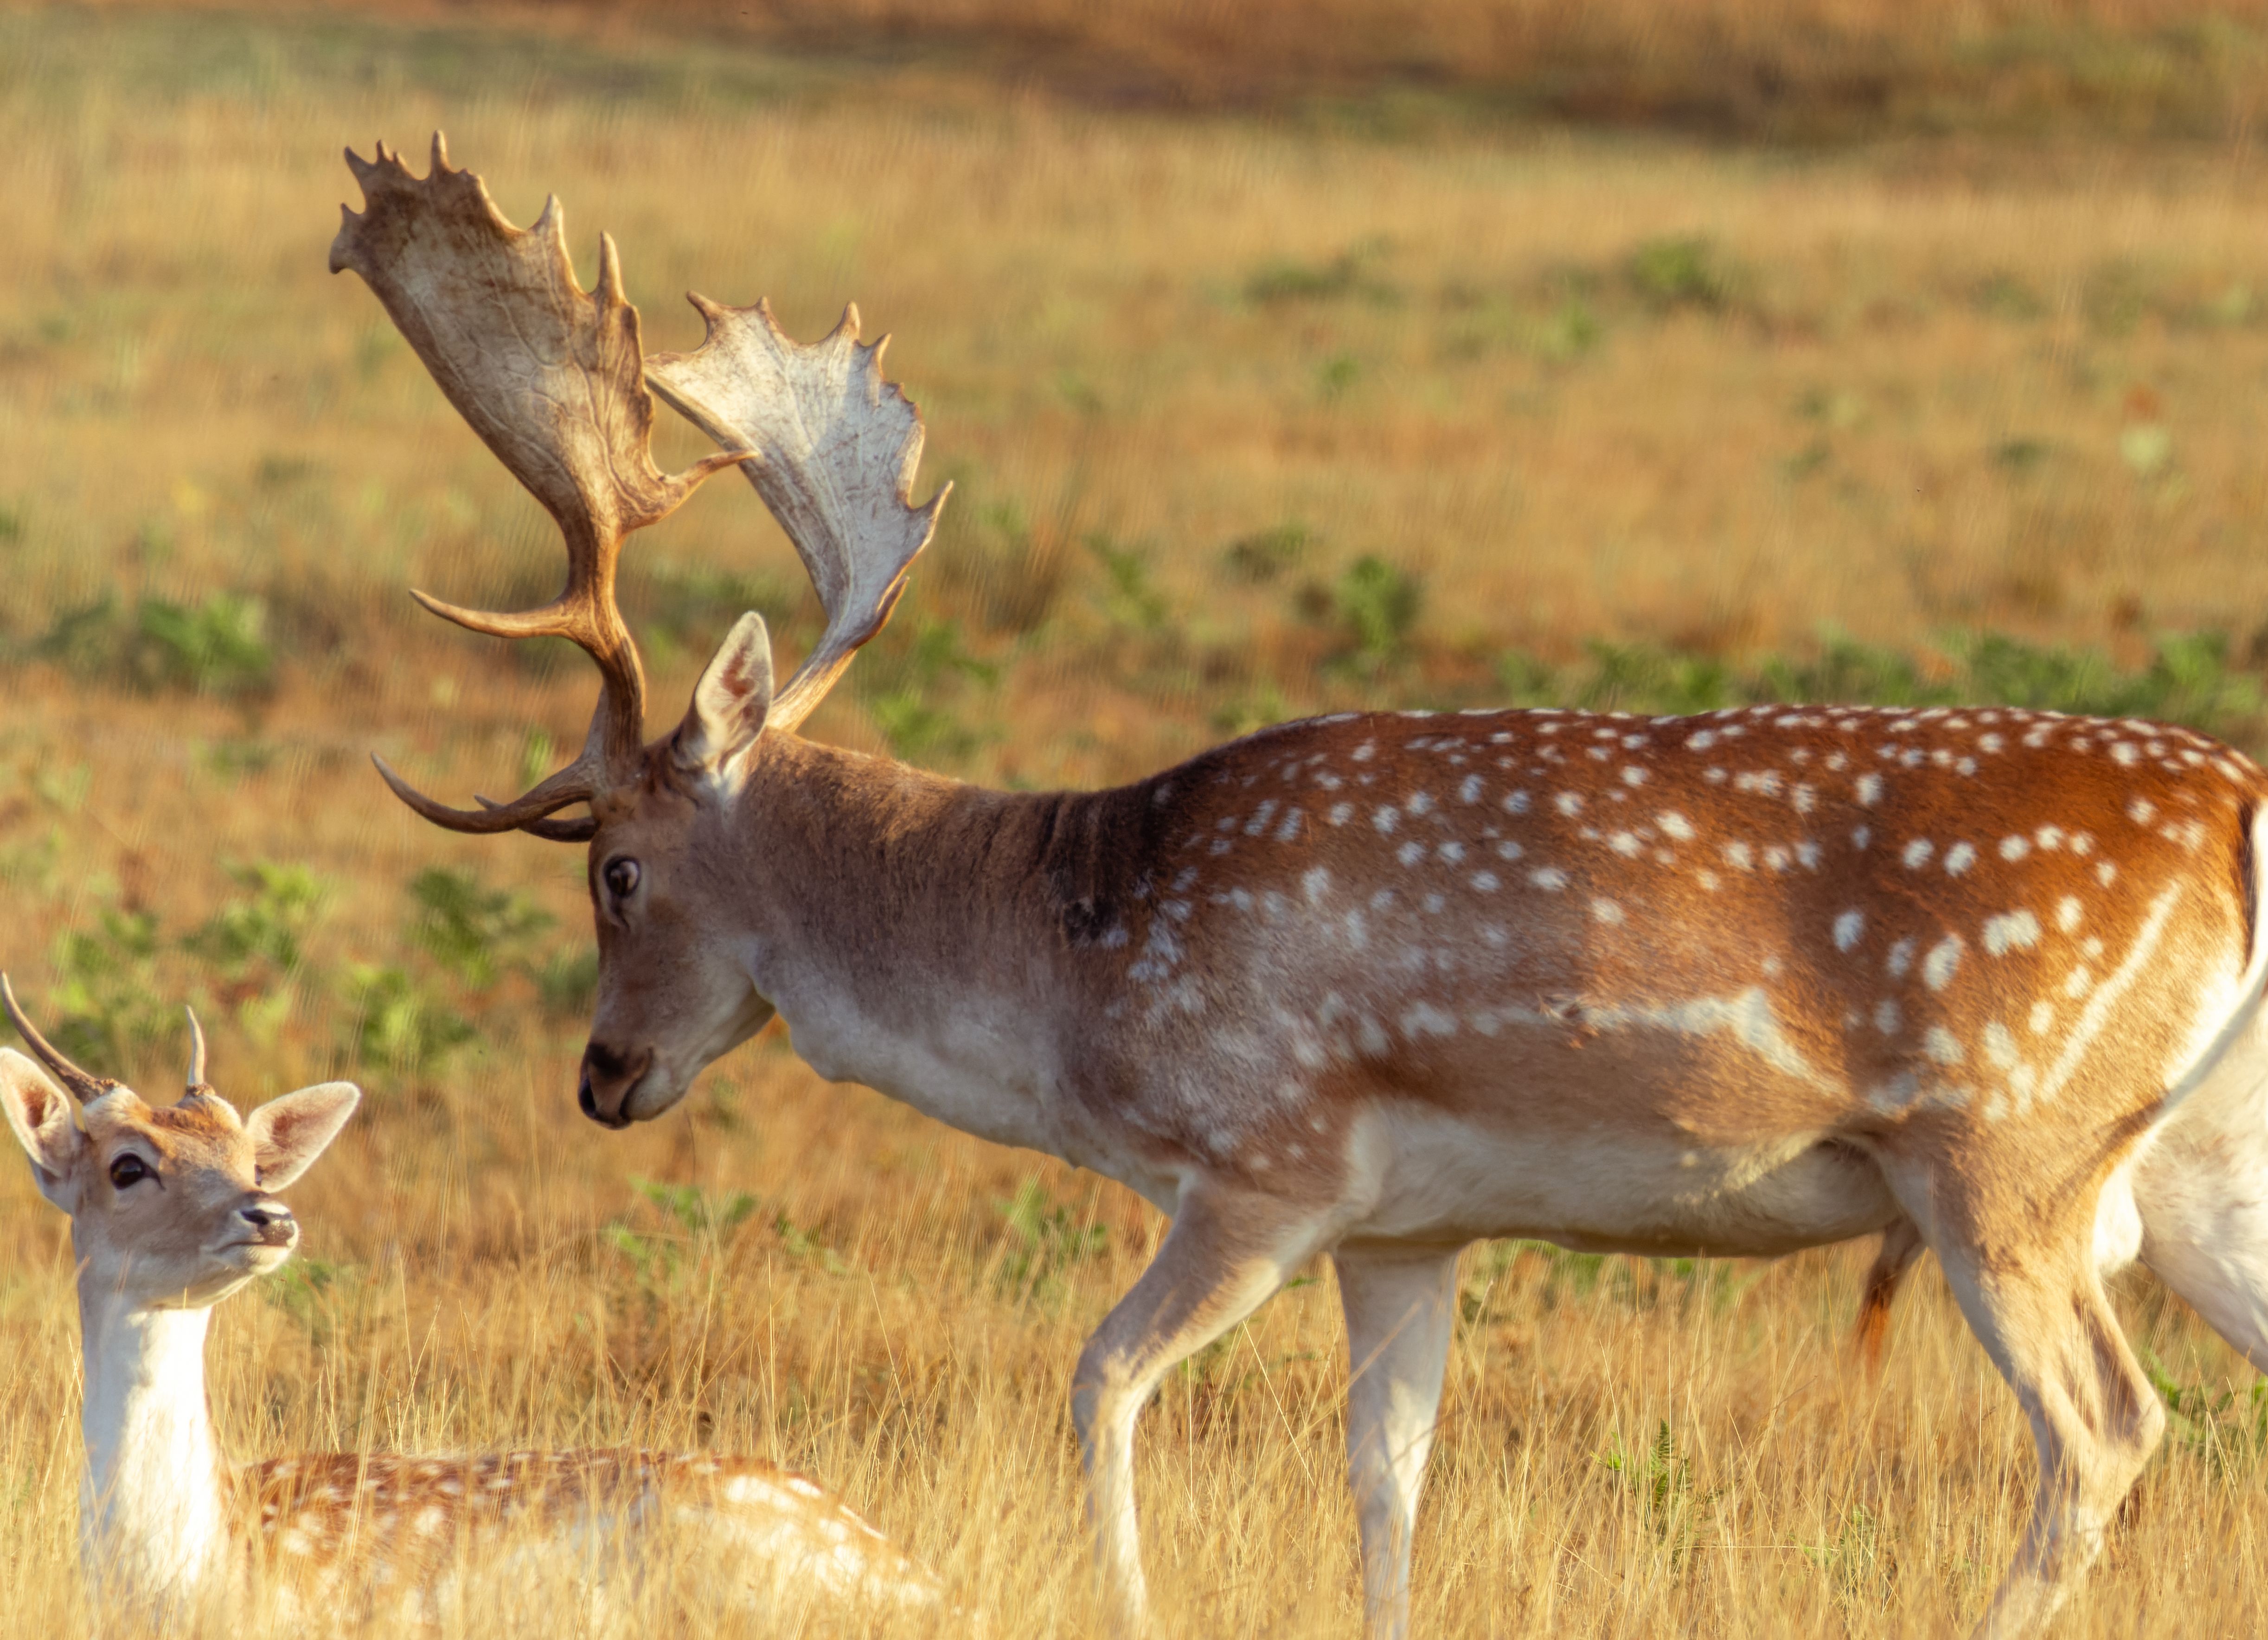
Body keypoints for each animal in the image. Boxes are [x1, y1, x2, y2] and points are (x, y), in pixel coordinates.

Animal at [335, 134, 2268, 1640]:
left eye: (618, 870)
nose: (602, 1077)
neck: (1078, 979)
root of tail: (2241, 802)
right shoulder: (1408, 1226)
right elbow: (1386, 1484)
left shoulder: (1266, 1162)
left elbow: (1099, 1382)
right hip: (2191, 1168)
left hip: (2001, 1151)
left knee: (2106, 1426)